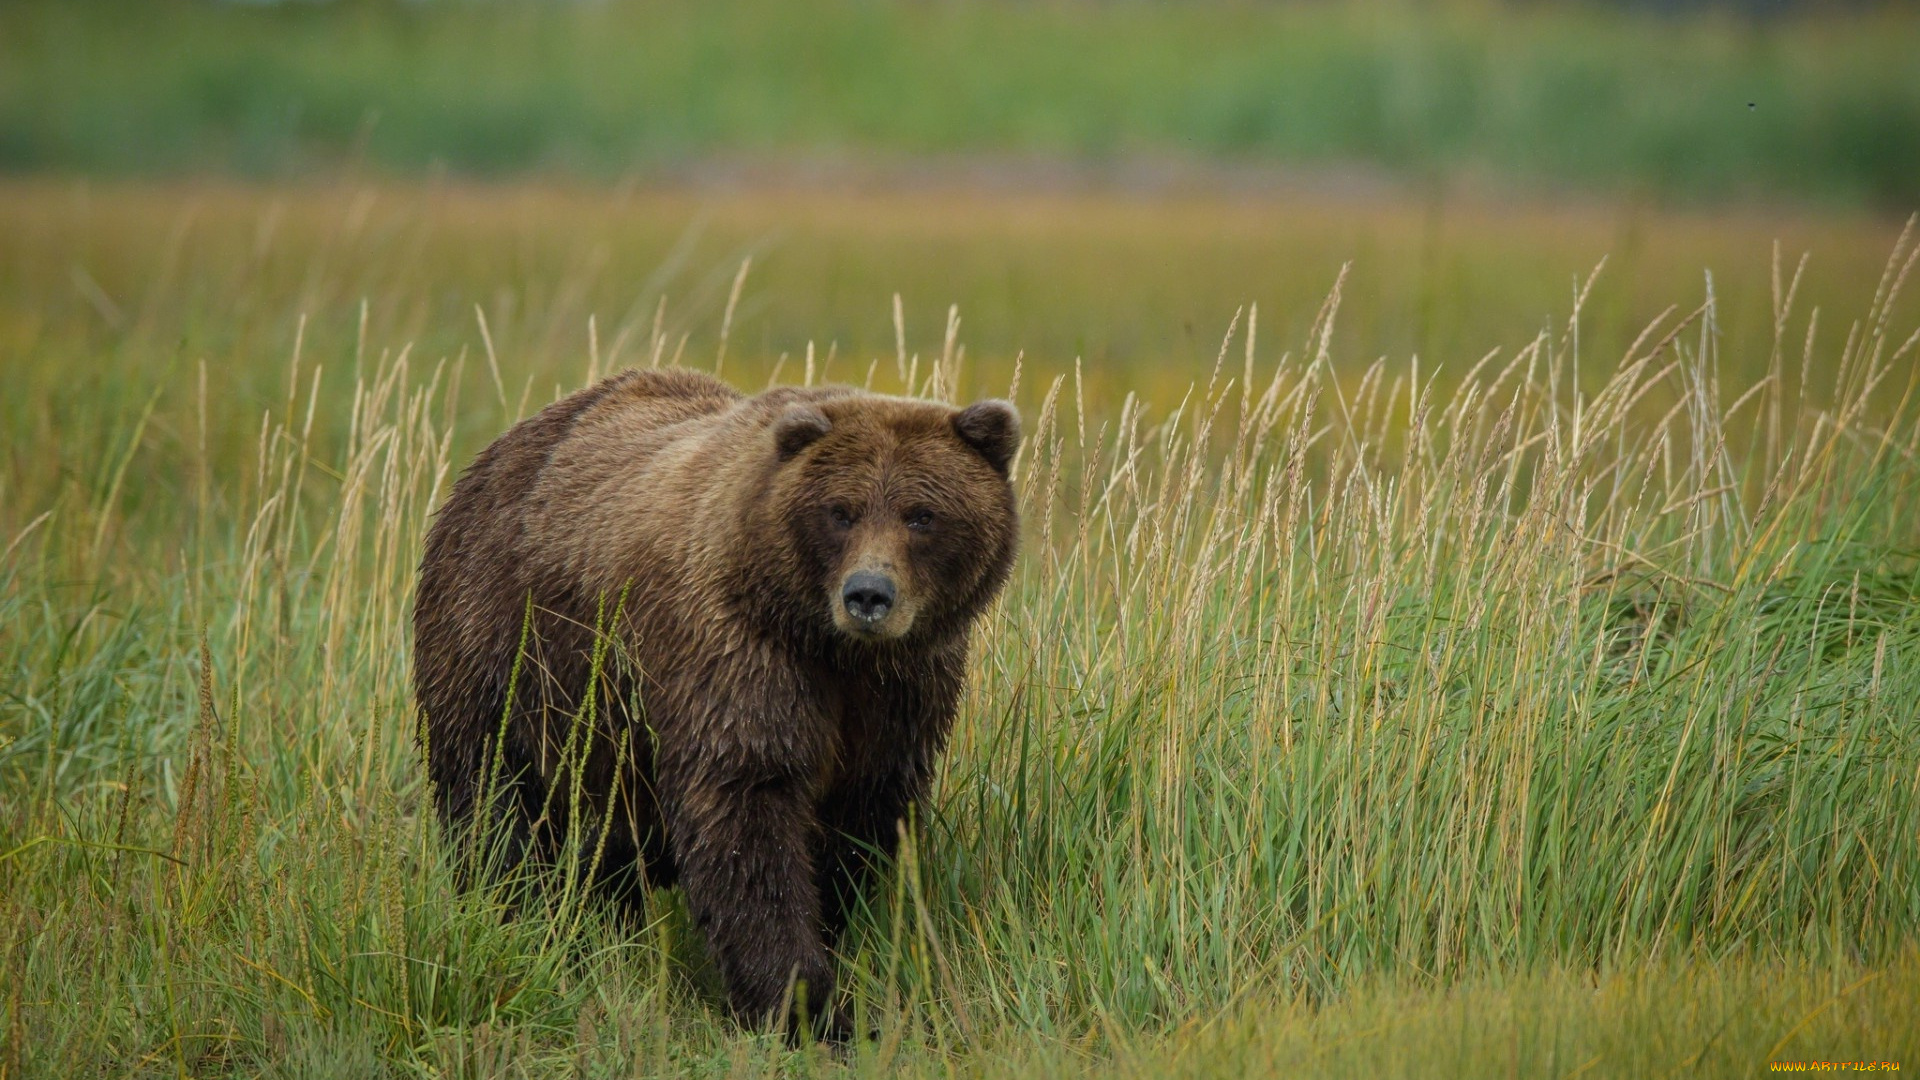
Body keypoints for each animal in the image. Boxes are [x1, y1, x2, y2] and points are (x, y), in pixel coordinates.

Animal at [410, 367, 1021, 1037]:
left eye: (921, 515)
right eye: (840, 511)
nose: (868, 595)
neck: (830, 647)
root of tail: (491, 457)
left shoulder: (901, 692)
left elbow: (857, 818)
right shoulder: (736, 655)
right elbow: (747, 813)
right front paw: (803, 1006)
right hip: (507, 647)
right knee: (493, 797)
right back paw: (517, 915)